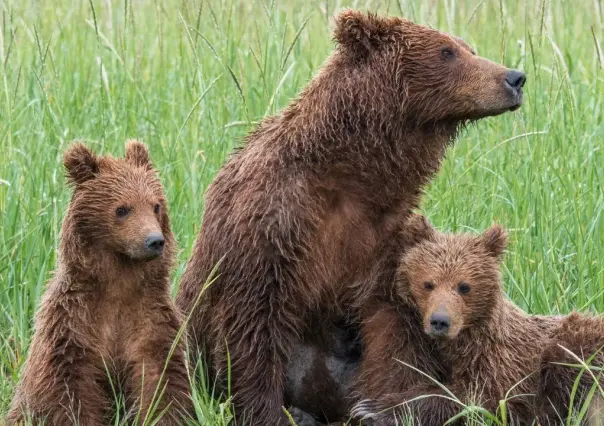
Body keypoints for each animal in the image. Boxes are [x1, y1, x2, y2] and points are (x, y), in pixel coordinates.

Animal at [6, 141, 191, 424]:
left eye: (156, 205)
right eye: (122, 208)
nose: (154, 241)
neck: (118, 283)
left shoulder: (149, 319)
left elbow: (160, 377)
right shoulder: (73, 323)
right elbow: (70, 387)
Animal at [177, 10, 528, 426]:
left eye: (468, 47)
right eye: (447, 51)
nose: (514, 77)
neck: (352, 177)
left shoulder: (382, 238)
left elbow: (391, 330)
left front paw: (382, 408)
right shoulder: (272, 222)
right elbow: (253, 323)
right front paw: (268, 411)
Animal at [352, 221, 600, 424]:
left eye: (464, 286)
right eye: (428, 284)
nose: (440, 321)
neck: (461, 343)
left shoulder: (502, 361)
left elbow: (481, 396)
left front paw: (375, 409)